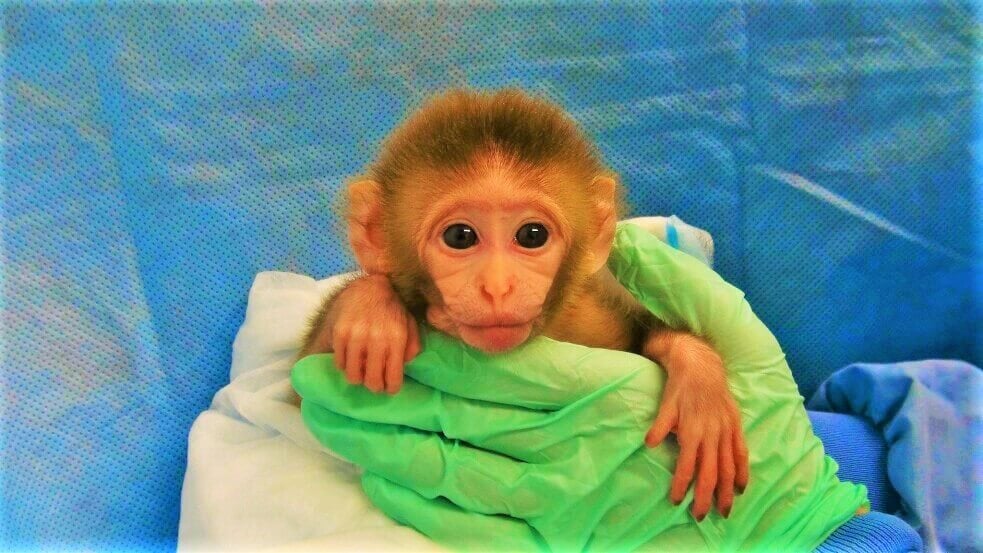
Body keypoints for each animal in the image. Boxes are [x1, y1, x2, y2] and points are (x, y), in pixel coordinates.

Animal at [298, 88, 748, 521]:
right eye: (460, 236)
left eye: (532, 235)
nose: (498, 288)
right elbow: (300, 395)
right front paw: (370, 310)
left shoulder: (593, 316)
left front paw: (699, 385)